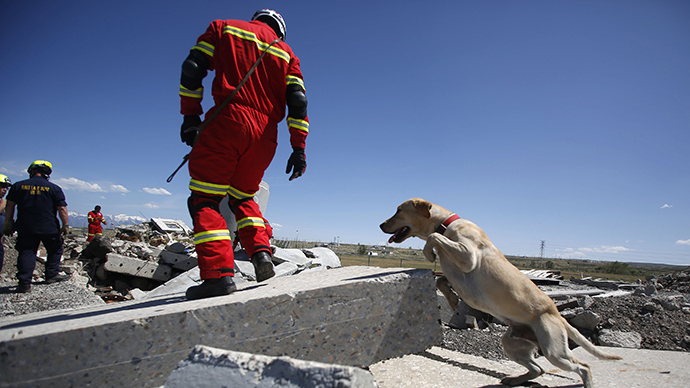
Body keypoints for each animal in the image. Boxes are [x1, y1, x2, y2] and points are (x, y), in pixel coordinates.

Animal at [378, 199, 620, 386]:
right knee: (539, 369)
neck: (446, 224)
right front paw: (454, 301)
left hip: (554, 351)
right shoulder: (454, 270)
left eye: (399, 210)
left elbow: (433, 239)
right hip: (512, 343)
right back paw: (514, 380)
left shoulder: (467, 256)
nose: (380, 224)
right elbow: (440, 280)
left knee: (584, 367)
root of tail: (557, 314)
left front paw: (429, 252)